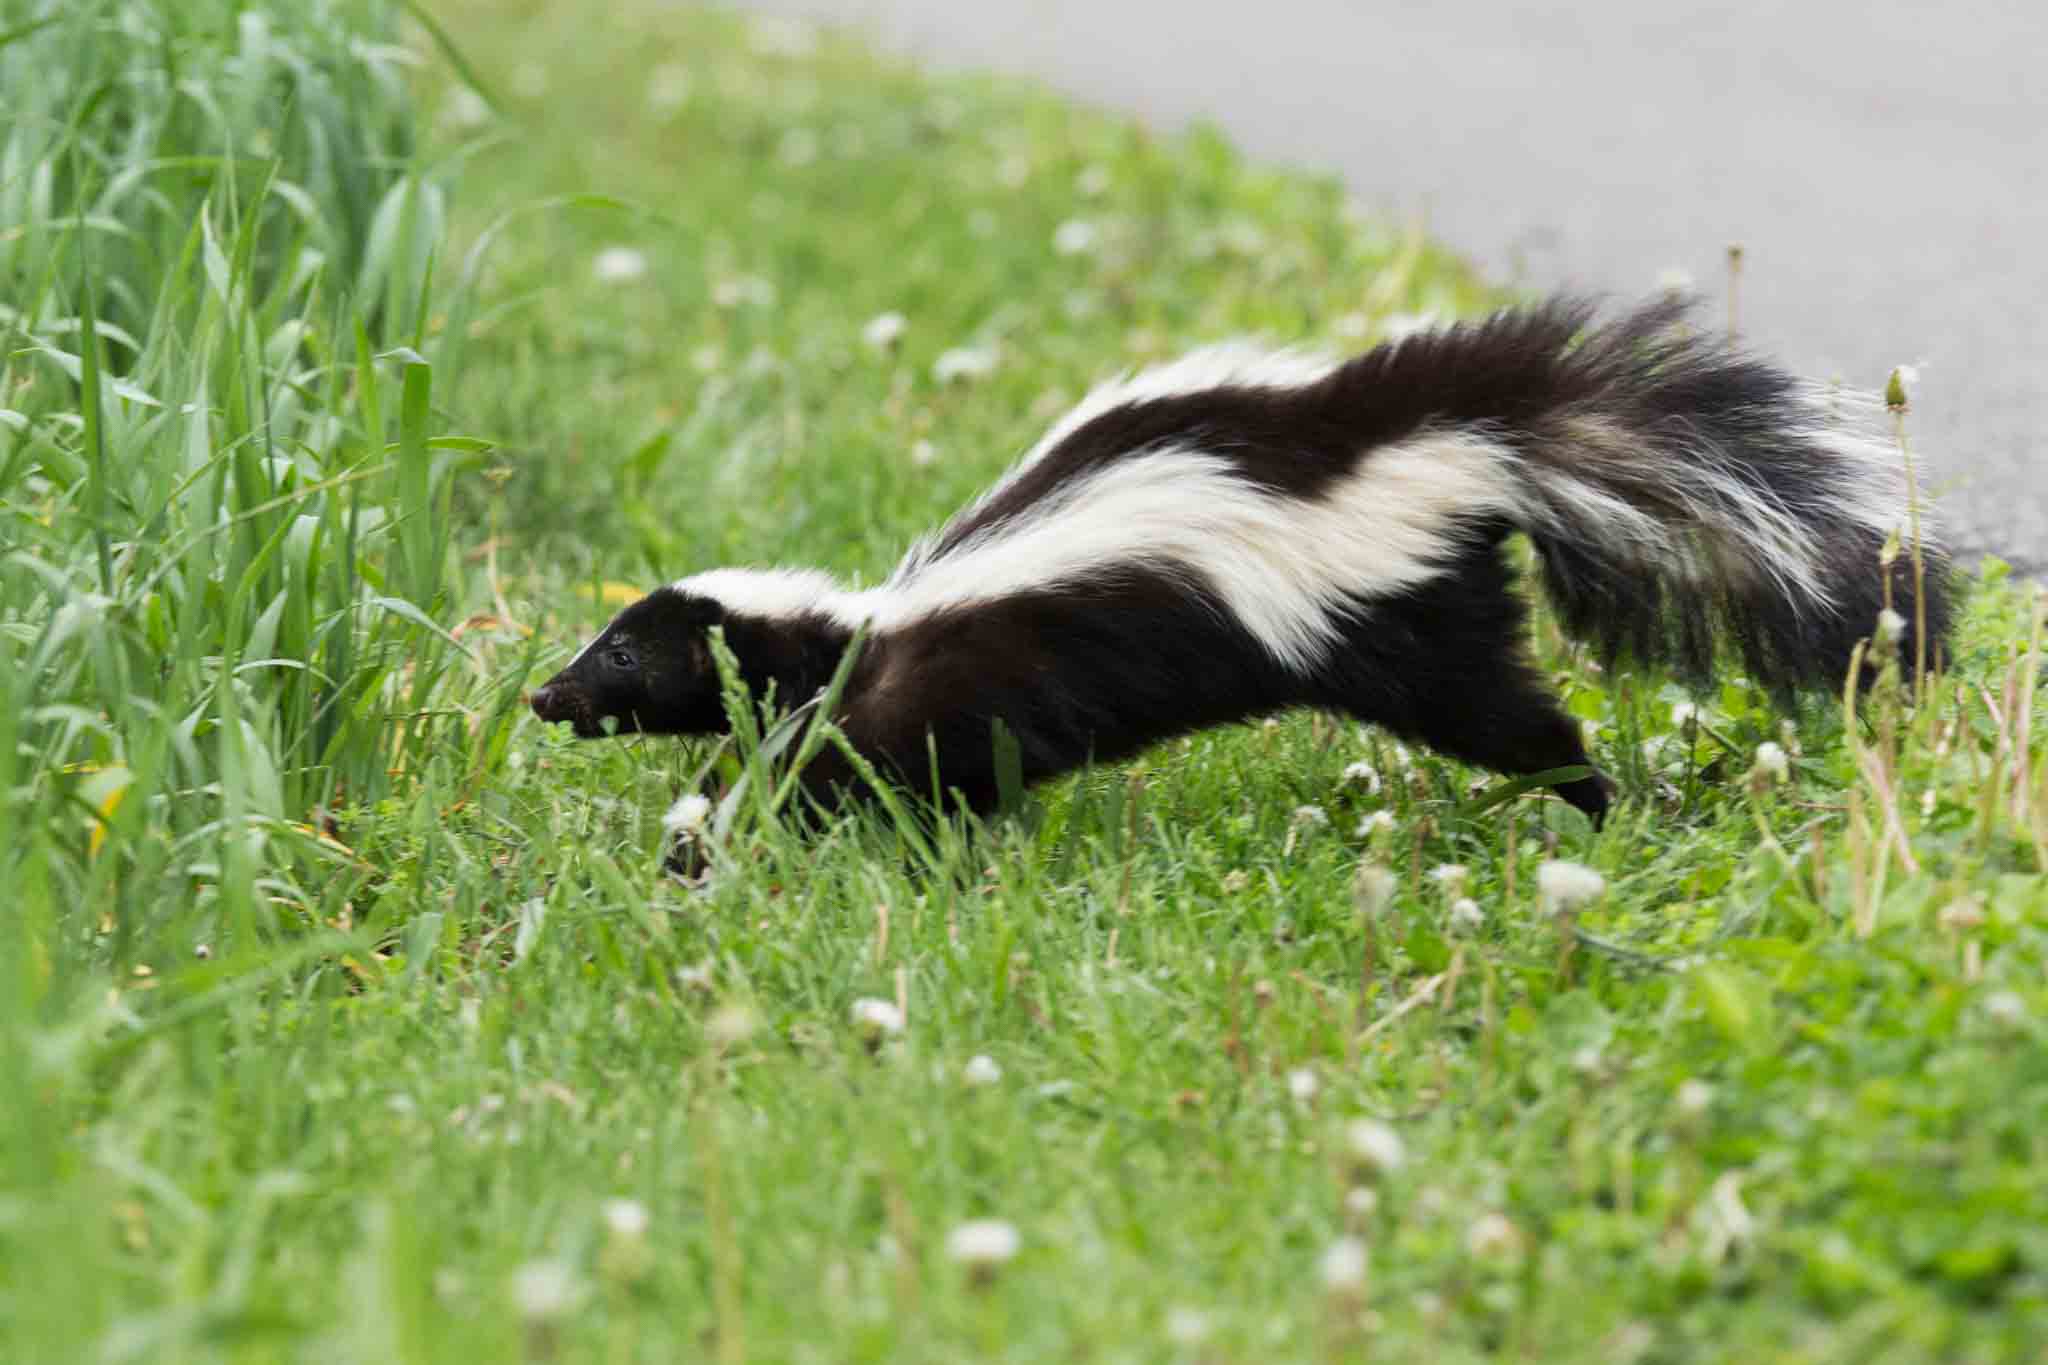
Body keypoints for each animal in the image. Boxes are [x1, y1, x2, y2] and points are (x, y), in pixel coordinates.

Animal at [528, 296, 1949, 822]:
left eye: (620, 654)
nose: (540, 694)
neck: (856, 627)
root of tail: (1435, 443)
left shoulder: (939, 685)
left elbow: (903, 769)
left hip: (1395, 630)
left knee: (1515, 719)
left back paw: (1590, 803)